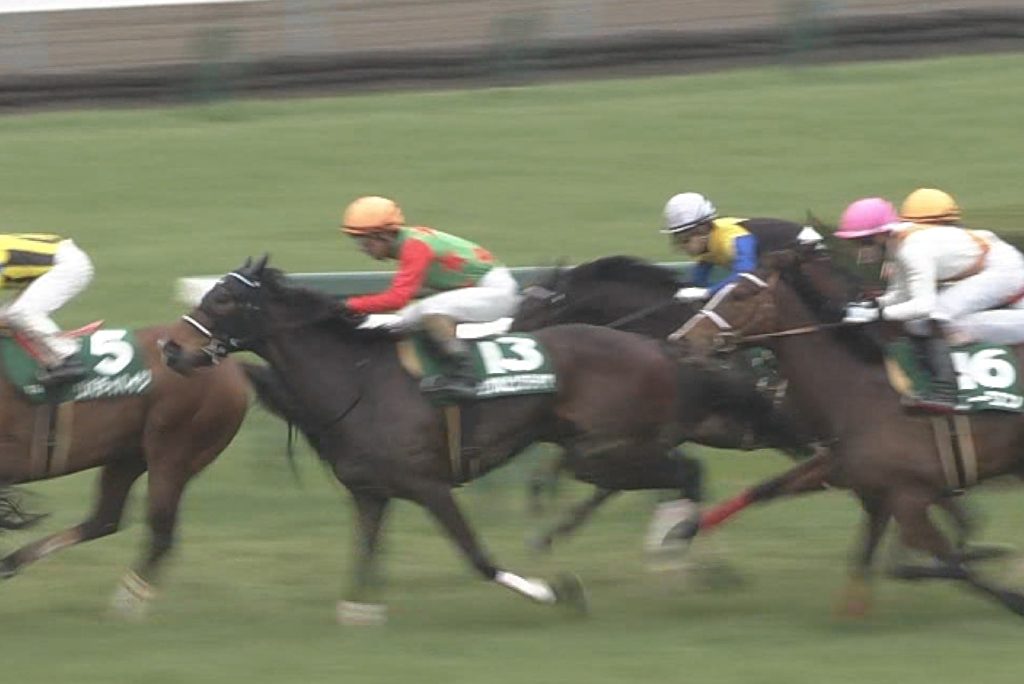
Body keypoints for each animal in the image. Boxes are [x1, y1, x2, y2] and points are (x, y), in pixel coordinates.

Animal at [159, 254, 811, 618]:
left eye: (224, 299)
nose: (171, 348)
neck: (358, 380)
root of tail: (657, 347)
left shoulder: (428, 484)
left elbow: (476, 556)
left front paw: (553, 591)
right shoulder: (370, 493)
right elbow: (363, 561)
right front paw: (356, 615)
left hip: (602, 451)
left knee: (685, 472)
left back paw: (681, 550)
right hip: (603, 449)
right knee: (681, 474)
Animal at [675, 246, 1024, 618]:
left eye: (740, 294)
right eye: (717, 291)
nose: (681, 340)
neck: (857, 393)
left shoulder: (909, 496)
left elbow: (954, 566)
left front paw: (1009, 590)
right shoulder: (861, 481)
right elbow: (767, 490)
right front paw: (687, 530)